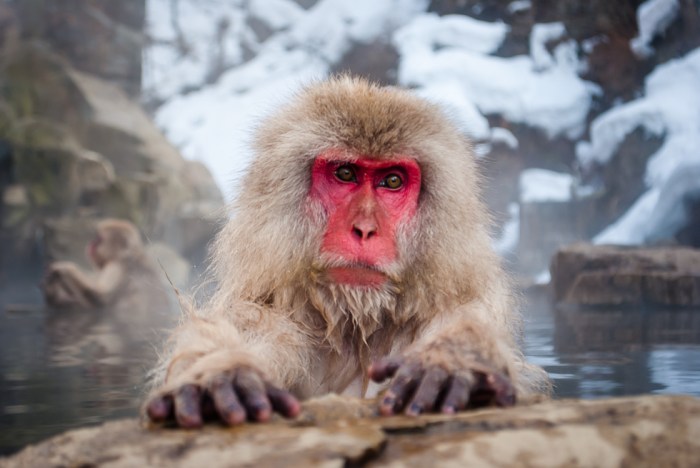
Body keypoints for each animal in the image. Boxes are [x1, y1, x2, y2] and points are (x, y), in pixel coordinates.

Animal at [145, 76, 551, 428]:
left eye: (392, 181)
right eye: (345, 173)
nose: (365, 229)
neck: (356, 327)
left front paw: (453, 360)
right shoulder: (265, 308)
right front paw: (224, 371)